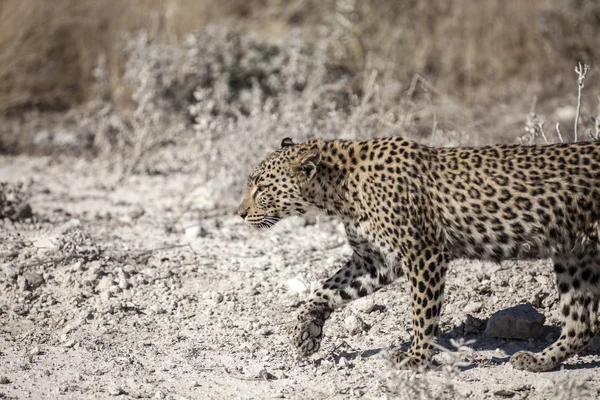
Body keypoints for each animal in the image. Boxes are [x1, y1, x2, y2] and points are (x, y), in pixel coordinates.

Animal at [237, 137, 600, 372]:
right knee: (583, 321)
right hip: (575, 255)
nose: (239, 213)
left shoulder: (423, 253)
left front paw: (417, 357)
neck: (338, 193)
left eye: (261, 187)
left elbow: (423, 313)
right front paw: (305, 334)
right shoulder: (375, 260)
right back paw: (539, 361)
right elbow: (324, 290)